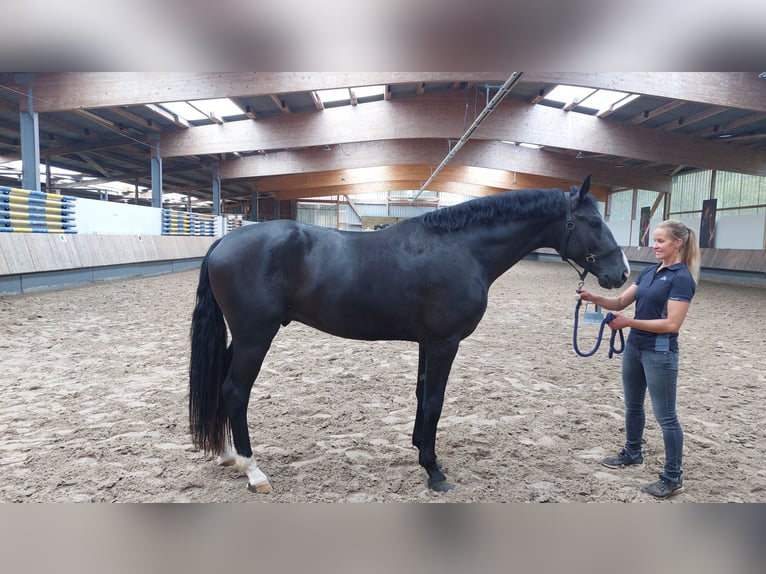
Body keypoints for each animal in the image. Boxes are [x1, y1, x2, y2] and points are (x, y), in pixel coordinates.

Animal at [188, 175, 630, 494]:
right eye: (594, 222)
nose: (621, 273)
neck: (462, 248)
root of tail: (225, 240)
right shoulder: (445, 343)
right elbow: (434, 401)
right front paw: (433, 471)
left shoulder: (427, 343)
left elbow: (421, 396)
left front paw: (420, 448)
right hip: (255, 338)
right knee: (235, 391)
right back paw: (253, 470)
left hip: (242, 338)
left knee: (223, 386)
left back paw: (227, 455)